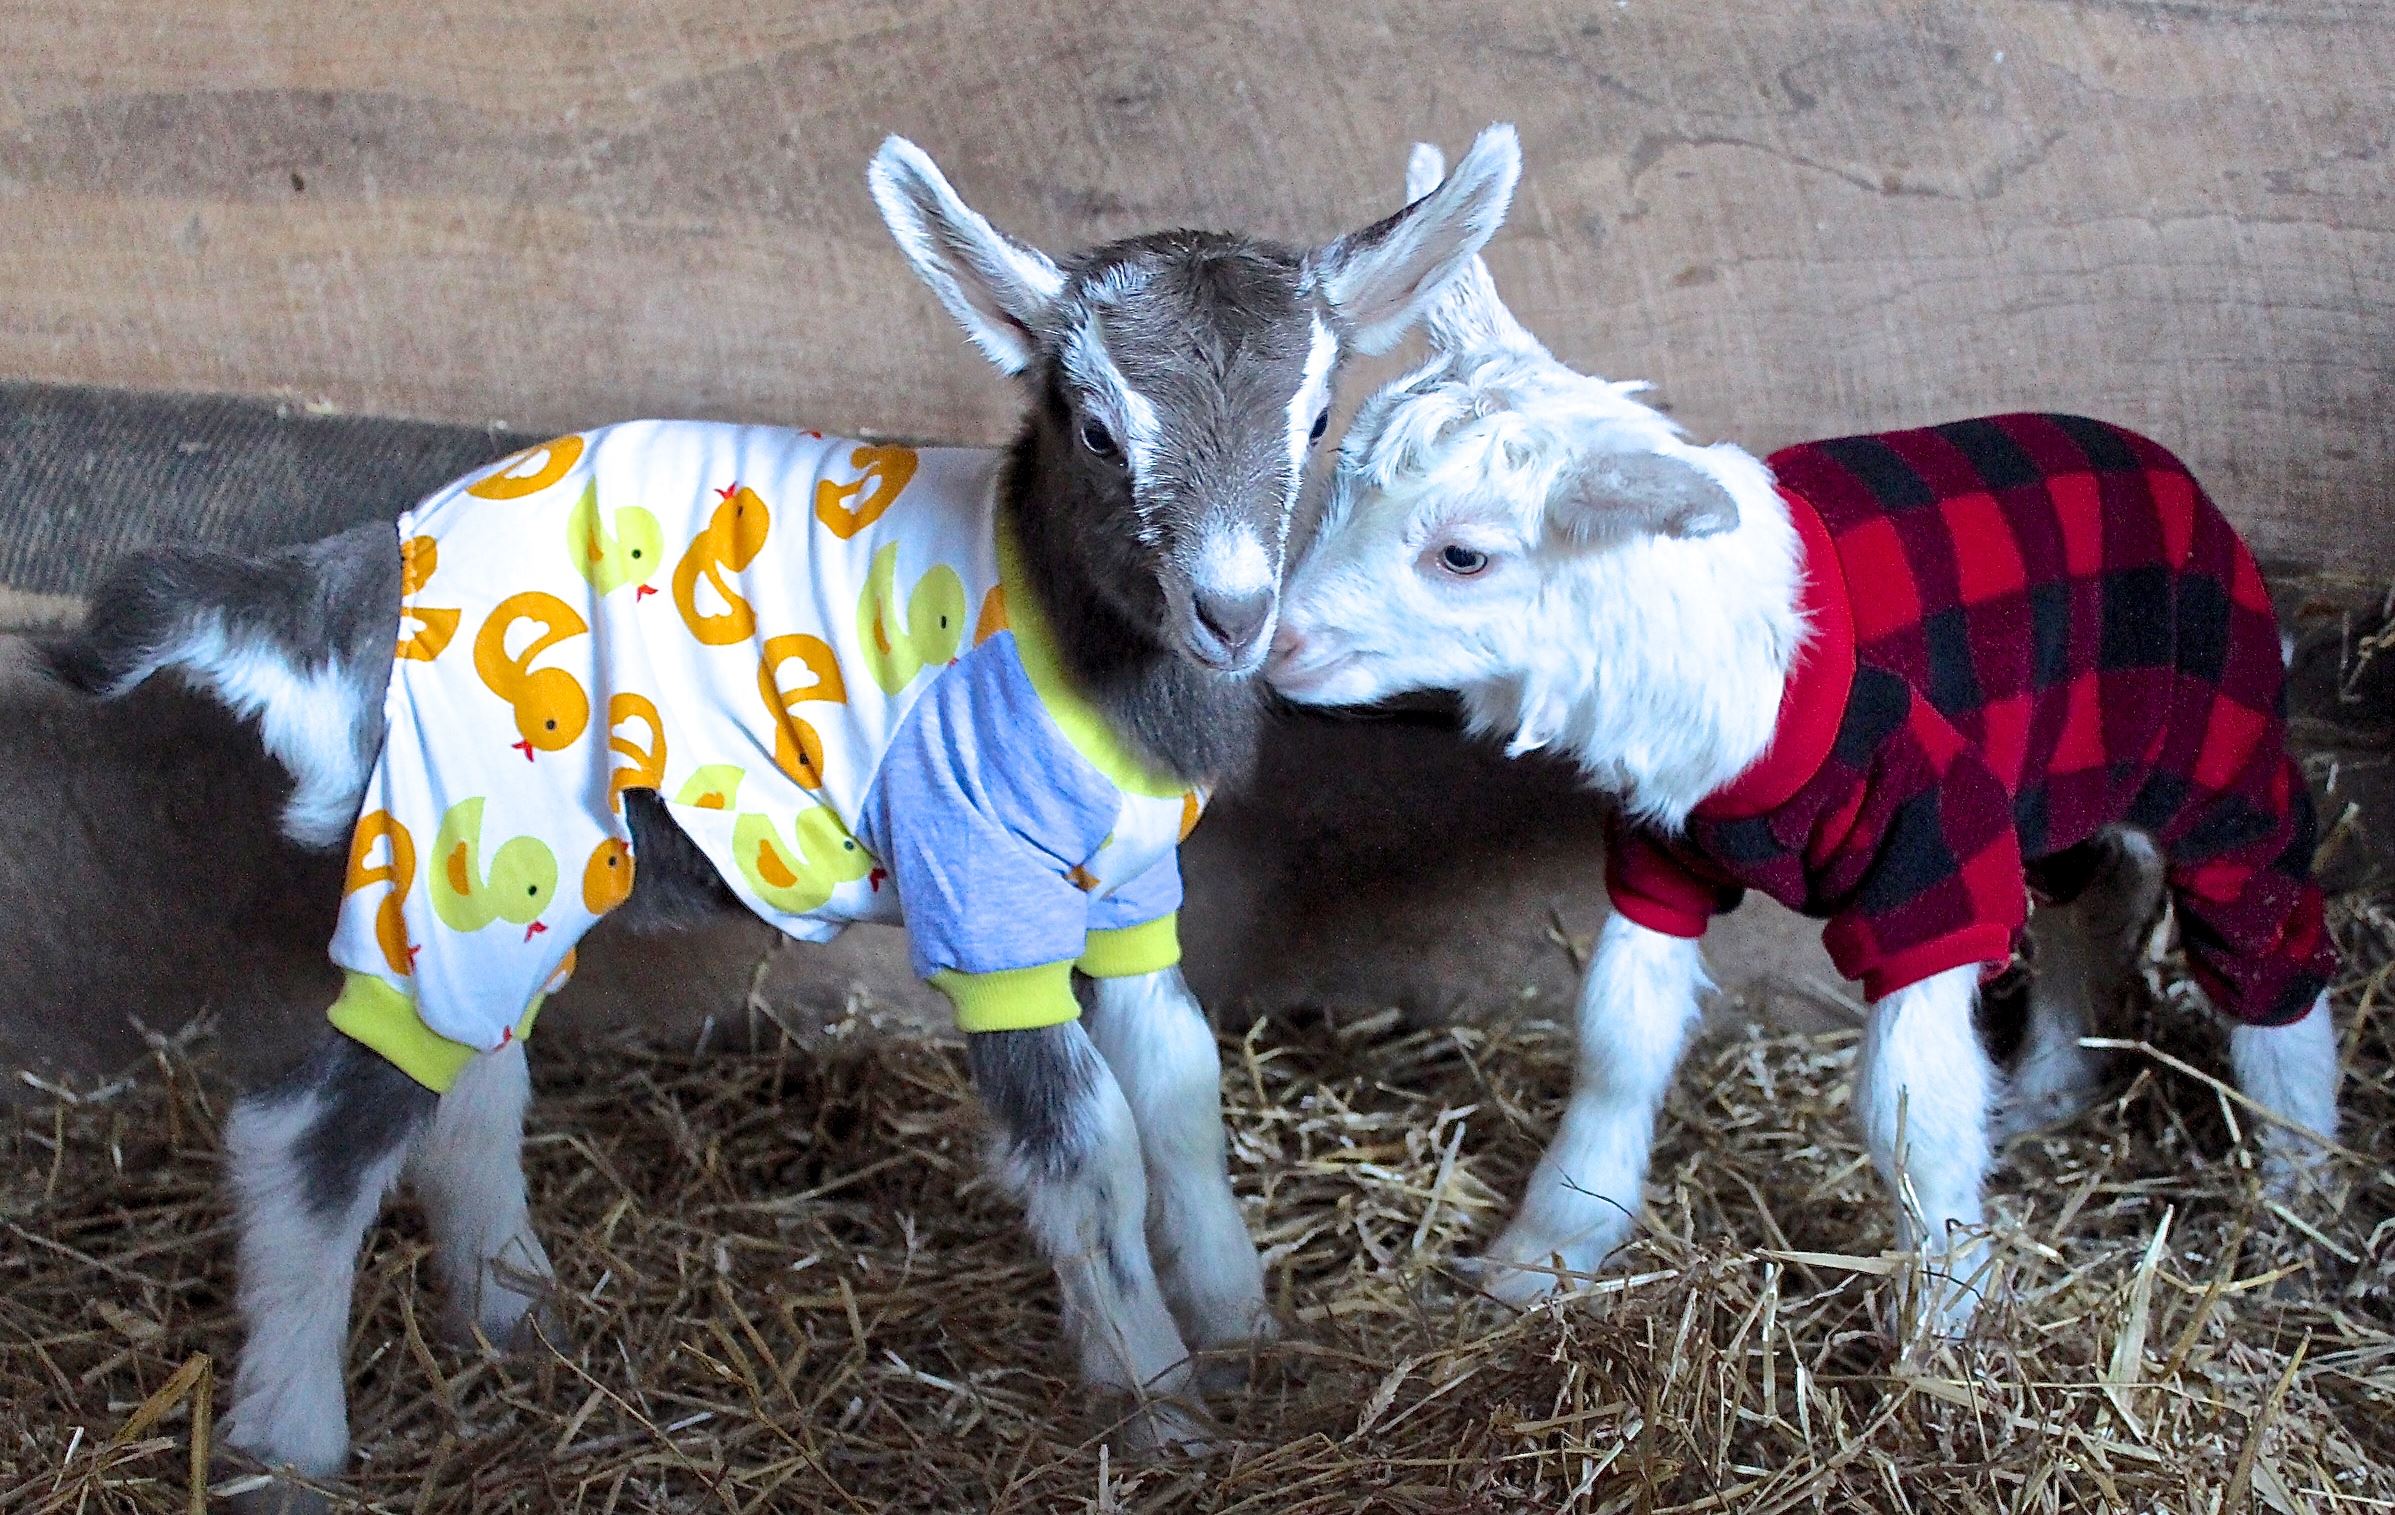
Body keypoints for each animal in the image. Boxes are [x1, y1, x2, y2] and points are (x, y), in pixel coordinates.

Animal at [47, 128, 1523, 1493]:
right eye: (1099, 428)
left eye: (1316, 419)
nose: (1228, 610)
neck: (1072, 640)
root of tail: (354, 577)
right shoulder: (978, 894)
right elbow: (1085, 1144)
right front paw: (1162, 1410)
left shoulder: (1125, 894)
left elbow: (1178, 1083)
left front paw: (1239, 1330)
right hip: (451, 837)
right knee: (306, 1132)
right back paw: (288, 1445)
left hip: (513, 861)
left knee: (471, 1084)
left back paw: (518, 1320)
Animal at [1268, 142, 2342, 1334]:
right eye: (1332, 479)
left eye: (1463, 556)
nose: (1278, 643)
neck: (1736, 658)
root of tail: (2165, 464)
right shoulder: (1665, 847)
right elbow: (1618, 1041)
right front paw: (1546, 1249)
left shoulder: (1932, 856)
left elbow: (1910, 1101)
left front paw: (1942, 1313)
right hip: (2060, 767)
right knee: (2088, 898)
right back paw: (2053, 1085)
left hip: (2215, 739)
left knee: (2260, 925)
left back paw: (2300, 1173)